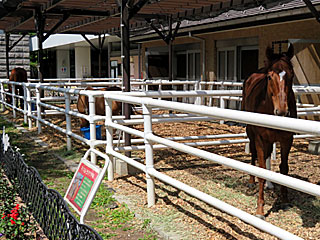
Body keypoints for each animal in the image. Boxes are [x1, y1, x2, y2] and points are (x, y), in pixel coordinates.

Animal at [242, 45, 298, 219]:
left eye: (292, 75)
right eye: (269, 77)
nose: (281, 111)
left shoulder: (287, 140)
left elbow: (284, 169)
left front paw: (285, 201)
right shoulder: (260, 139)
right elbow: (260, 169)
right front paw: (260, 210)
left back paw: (270, 184)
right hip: (251, 132)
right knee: (254, 155)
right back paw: (251, 181)